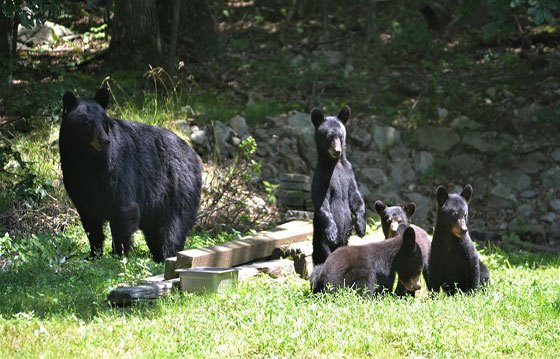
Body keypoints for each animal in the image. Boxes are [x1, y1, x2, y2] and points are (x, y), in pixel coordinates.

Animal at [59, 88, 202, 262]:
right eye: (88, 122)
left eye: (104, 122)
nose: (105, 141)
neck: (88, 161)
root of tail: (194, 155)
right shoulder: (75, 177)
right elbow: (90, 219)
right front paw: (93, 255)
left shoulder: (117, 170)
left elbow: (124, 210)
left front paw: (117, 255)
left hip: (177, 189)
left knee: (172, 227)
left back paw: (166, 256)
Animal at [308, 105, 366, 266]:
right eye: (329, 136)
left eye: (340, 135)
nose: (337, 151)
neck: (335, 164)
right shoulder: (321, 177)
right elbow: (321, 200)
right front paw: (332, 231)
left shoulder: (349, 173)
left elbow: (355, 196)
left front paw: (361, 226)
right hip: (319, 235)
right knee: (322, 251)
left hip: (345, 240)